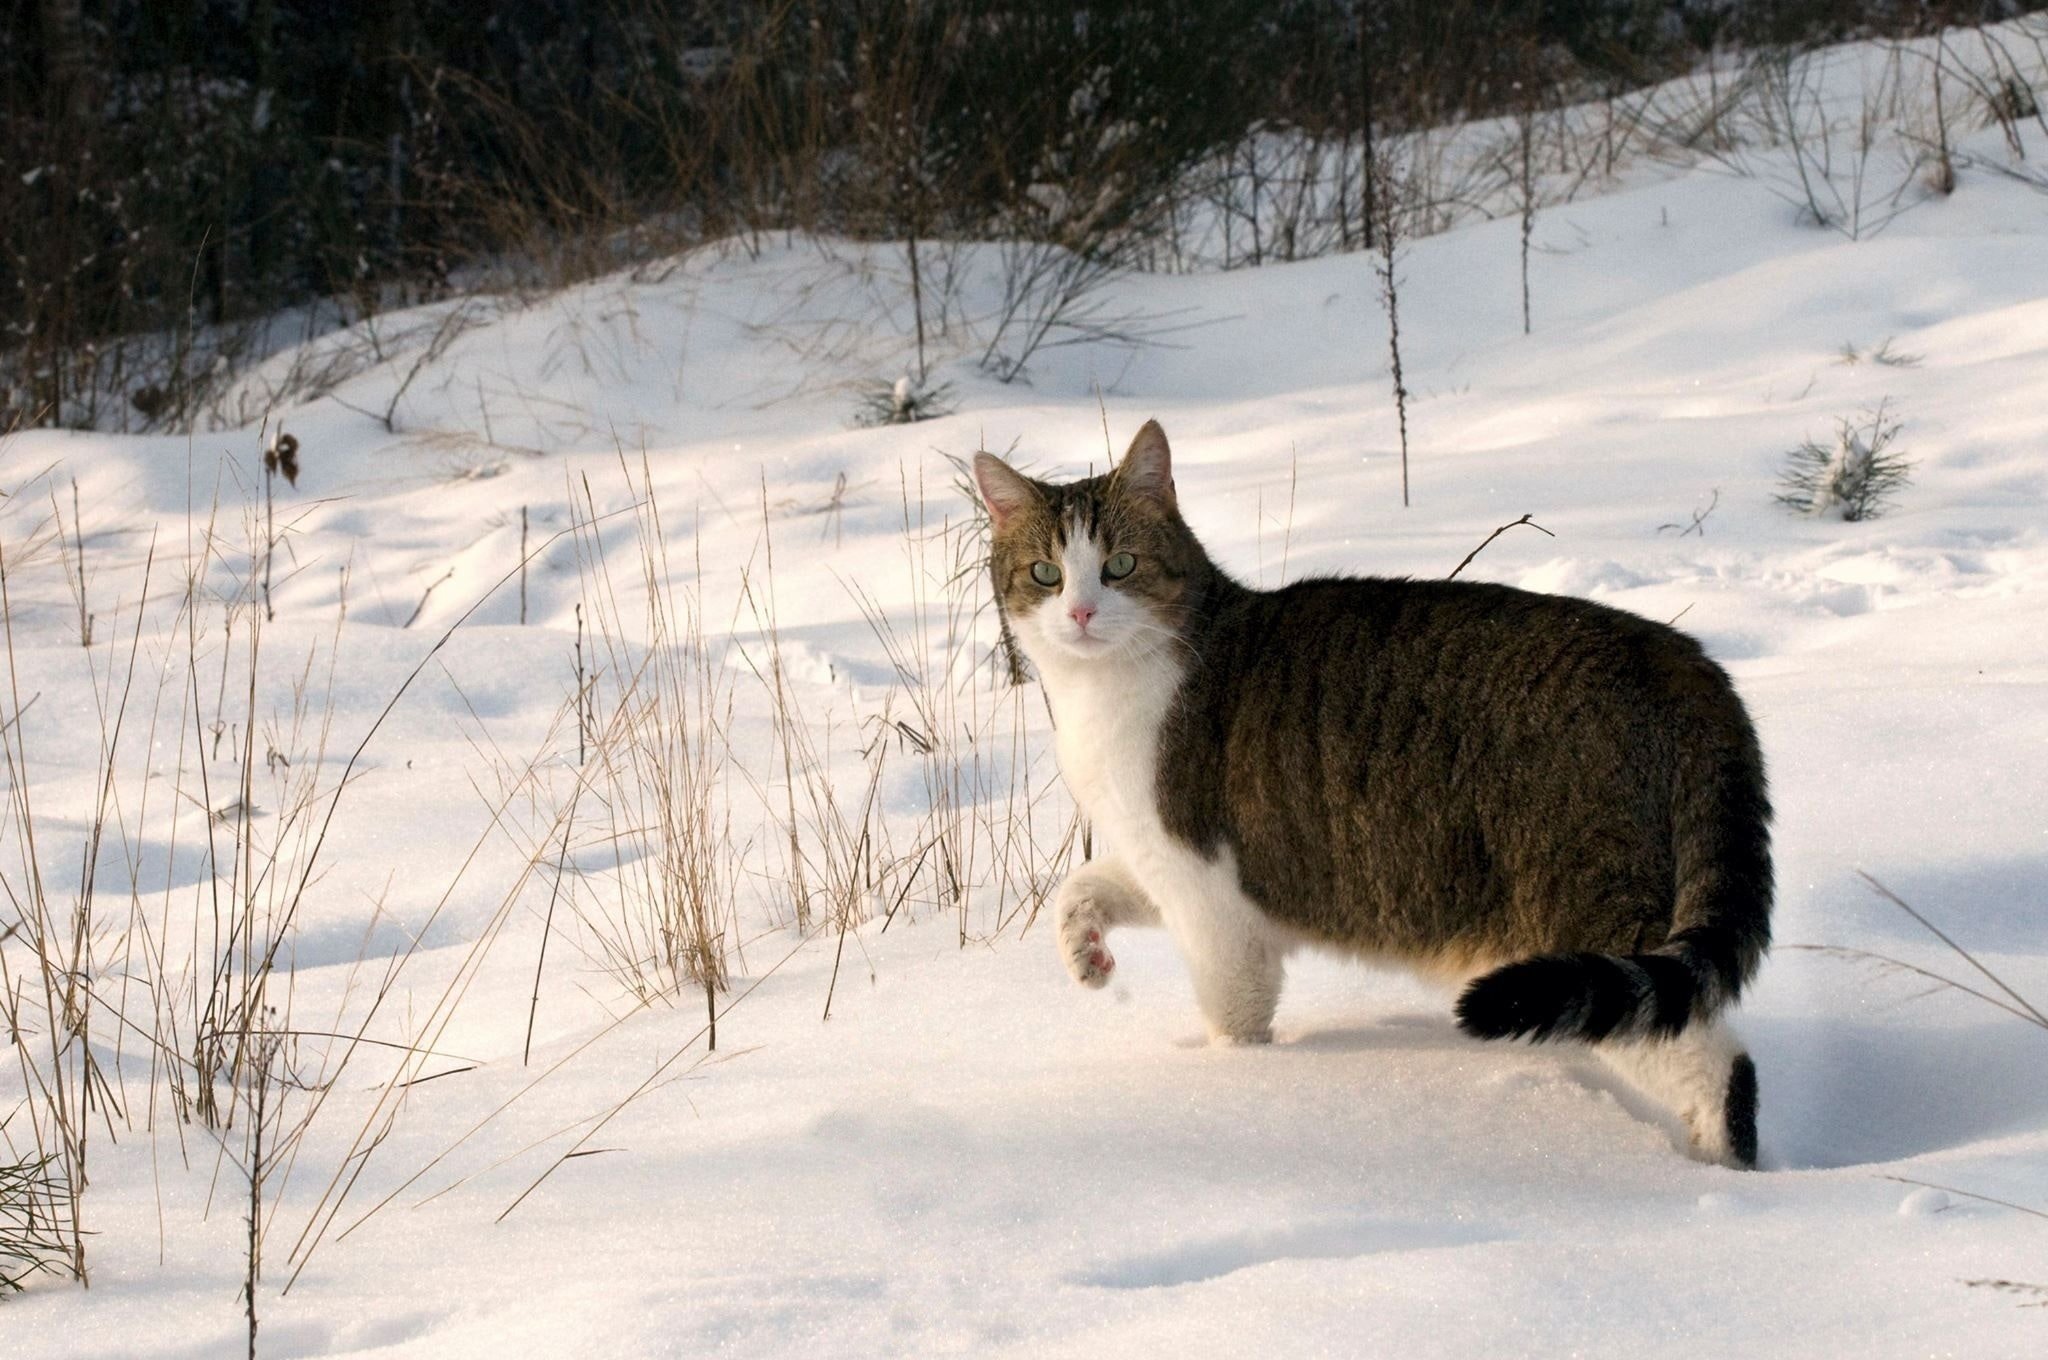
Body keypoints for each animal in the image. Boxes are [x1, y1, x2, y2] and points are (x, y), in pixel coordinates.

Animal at [966, 419, 1769, 1163]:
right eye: (1045, 573)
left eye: (1120, 565)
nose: (1081, 613)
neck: (1103, 693)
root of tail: (1678, 657)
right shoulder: (1161, 857)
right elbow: (1083, 888)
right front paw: (1086, 954)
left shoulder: (1209, 897)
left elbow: (1235, 1016)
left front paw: (1234, 1088)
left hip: (1579, 904)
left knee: (1715, 1063)